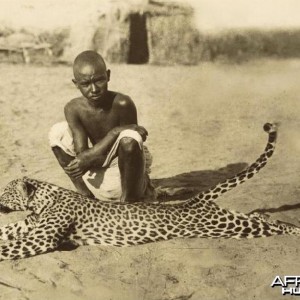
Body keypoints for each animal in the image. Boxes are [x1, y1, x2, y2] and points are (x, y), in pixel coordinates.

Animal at [0, 122, 298, 260]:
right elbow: (5, 231)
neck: (43, 200)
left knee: (271, 226)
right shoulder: (27, 226)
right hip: (229, 220)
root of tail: (193, 201)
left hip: (226, 227)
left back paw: (294, 230)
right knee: (260, 217)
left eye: (4, 192)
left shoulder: (42, 238)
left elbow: (8, 247)